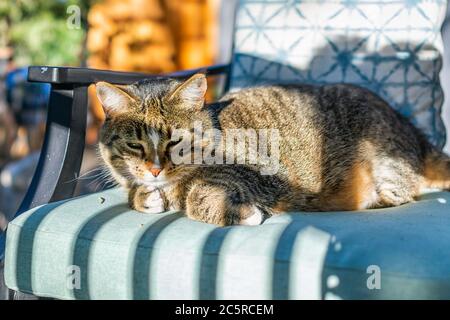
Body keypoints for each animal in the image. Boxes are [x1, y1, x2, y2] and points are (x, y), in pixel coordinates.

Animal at [96, 74, 450, 226]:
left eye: (176, 142)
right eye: (135, 144)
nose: (155, 168)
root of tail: (413, 131)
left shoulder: (264, 173)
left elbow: (198, 195)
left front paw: (239, 212)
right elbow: (138, 192)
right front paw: (145, 195)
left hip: (383, 159)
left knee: (403, 190)